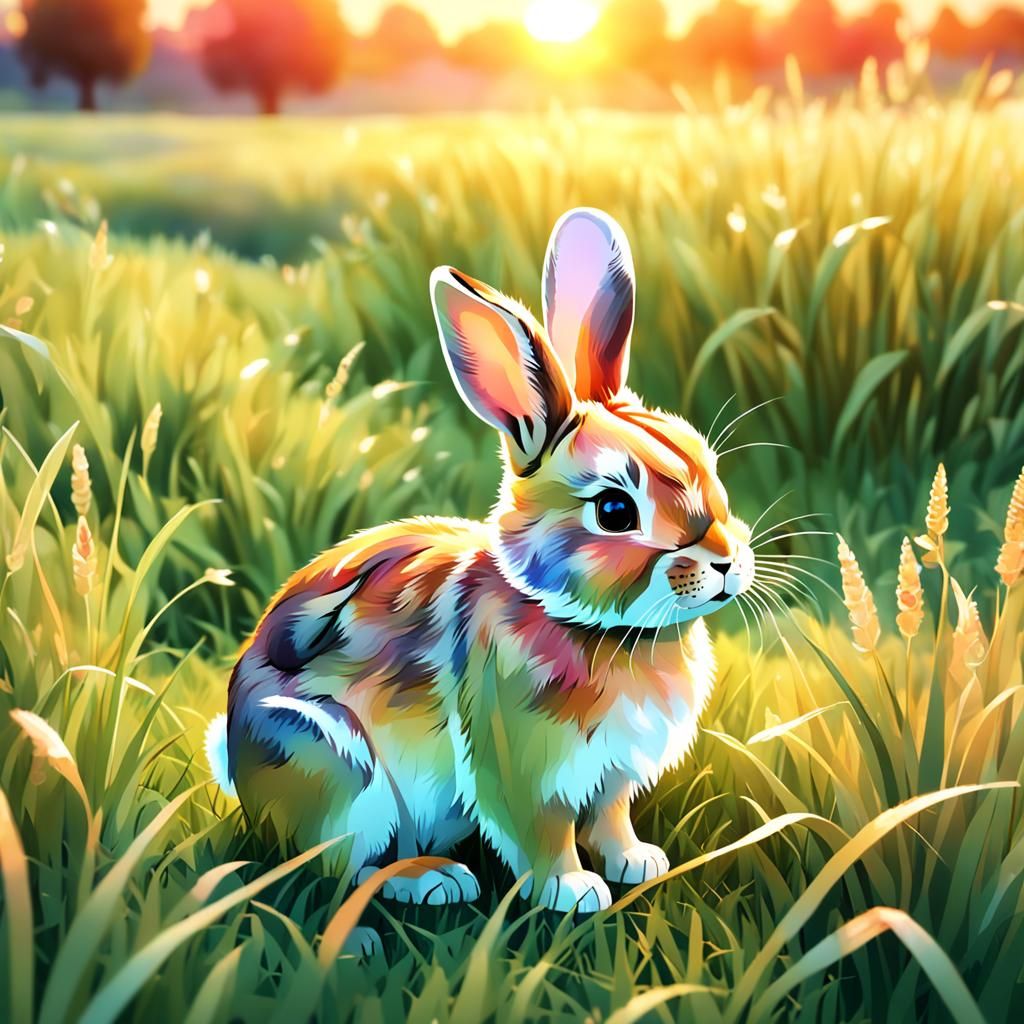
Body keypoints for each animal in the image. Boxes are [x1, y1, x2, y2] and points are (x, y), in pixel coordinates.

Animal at [206, 207, 756, 915]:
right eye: (614, 510)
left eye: (709, 468)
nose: (726, 563)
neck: (598, 629)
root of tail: (237, 761)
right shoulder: (519, 761)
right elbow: (542, 831)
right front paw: (573, 892)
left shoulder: (611, 774)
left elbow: (610, 817)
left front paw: (638, 863)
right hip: (336, 764)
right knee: (342, 869)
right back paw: (434, 879)